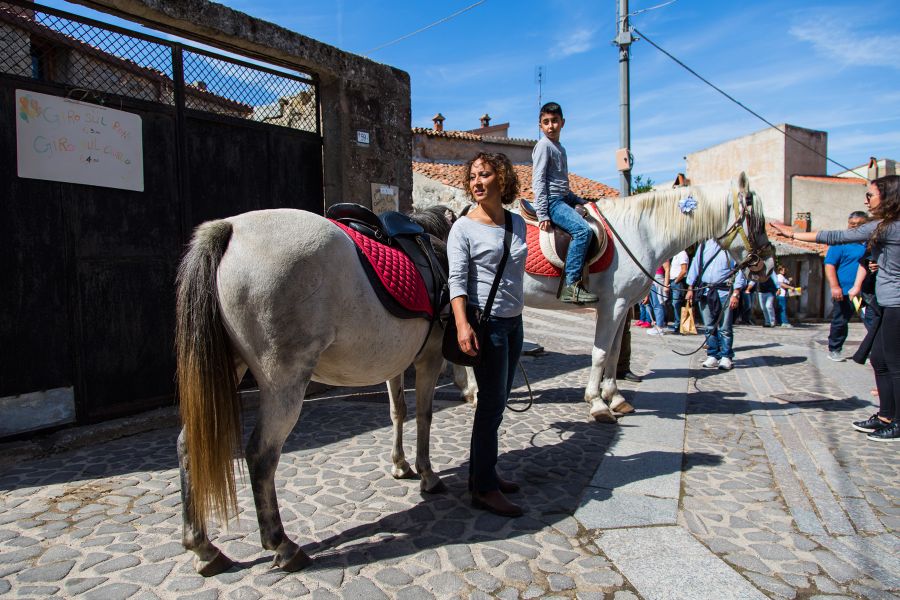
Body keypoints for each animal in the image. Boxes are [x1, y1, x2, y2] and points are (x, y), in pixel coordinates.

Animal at [450, 175, 772, 422]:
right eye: (757, 220)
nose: (767, 266)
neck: (640, 233)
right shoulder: (612, 305)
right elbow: (601, 353)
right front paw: (597, 403)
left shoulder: (624, 307)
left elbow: (616, 352)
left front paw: (615, 398)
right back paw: (476, 392)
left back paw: (467, 390)